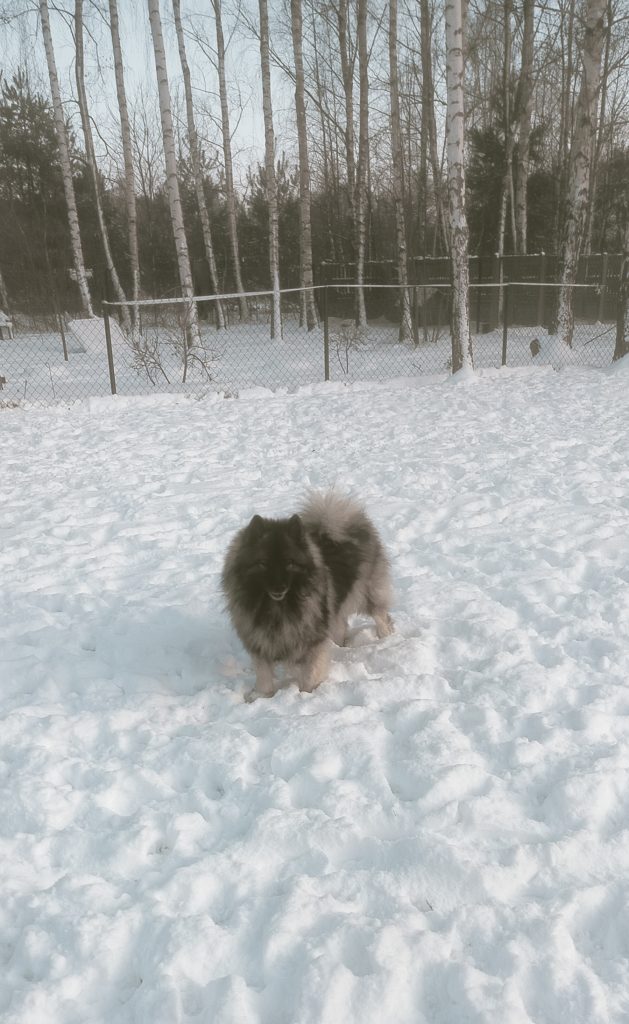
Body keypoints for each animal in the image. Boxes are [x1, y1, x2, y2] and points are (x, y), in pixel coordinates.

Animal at [221, 491, 394, 698]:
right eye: (263, 564)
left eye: (289, 563)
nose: (279, 587)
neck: (277, 607)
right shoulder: (260, 644)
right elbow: (264, 678)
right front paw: (263, 696)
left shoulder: (312, 643)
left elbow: (310, 674)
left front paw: (307, 694)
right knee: (341, 625)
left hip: (367, 593)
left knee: (381, 616)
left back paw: (385, 638)